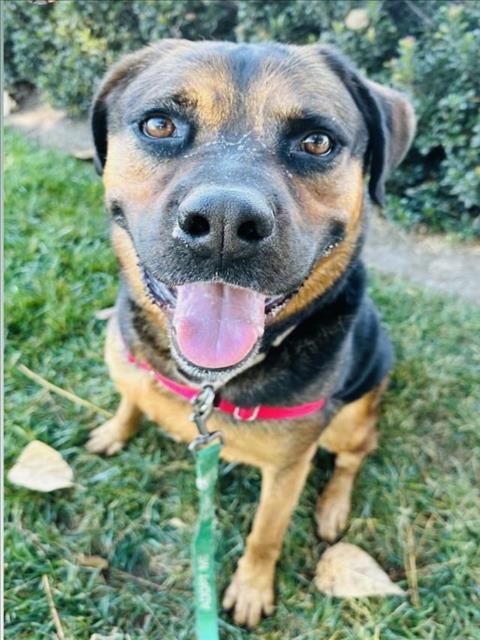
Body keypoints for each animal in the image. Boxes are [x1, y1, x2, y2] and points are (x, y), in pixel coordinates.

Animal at [84, 41, 414, 632]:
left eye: (316, 141)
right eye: (160, 124)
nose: (224, 224)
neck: (206, 384)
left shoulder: (288, 469)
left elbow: (266, 533)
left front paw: (252, 589)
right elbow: (130, 397)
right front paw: (115, 429)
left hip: (352, 416)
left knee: (356, 455)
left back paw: (333, 507)